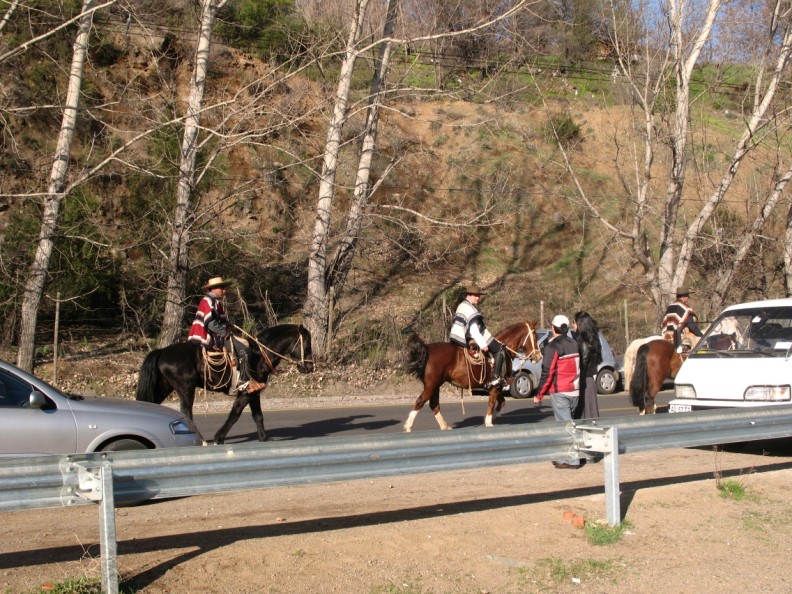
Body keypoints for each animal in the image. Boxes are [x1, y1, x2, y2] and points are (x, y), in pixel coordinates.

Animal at [136, 322, 312, 442]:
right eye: (307, 344)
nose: (310, 367)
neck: (260, 356)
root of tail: (162, 352)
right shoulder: (246, 393)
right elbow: (235, 413)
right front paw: (219, 438)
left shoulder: (254, 392)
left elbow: (258, 416)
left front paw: (264, 438)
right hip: (185, 389)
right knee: (186, 412)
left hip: (164, 387)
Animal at [406, 320, 540, 430]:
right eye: (535, 336)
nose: (539, 356)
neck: (505, 352)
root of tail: (427, 348)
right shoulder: (496, 386)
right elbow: (492, 403)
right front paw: (489, 421)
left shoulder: (496, 387)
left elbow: (501, 402)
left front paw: (493, 417)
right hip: (431, 385)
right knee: (420, 401)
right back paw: (408, 426)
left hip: (436, 385)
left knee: (434, 404)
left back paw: (444, 426)